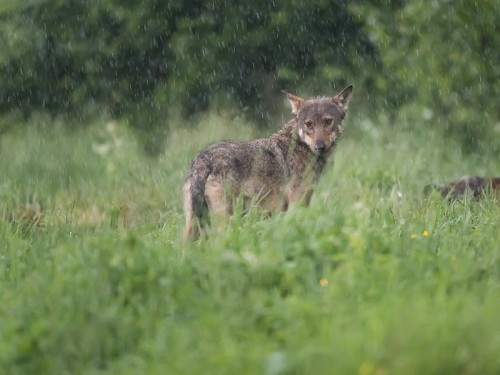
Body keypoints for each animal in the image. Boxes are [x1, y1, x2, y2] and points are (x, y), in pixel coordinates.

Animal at [183, 85, 352, 239]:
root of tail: (203, 159)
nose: (320, 147)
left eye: (328, 122)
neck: (299, 146)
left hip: (193, 225)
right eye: (309, 124)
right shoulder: (298, 203)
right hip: (226, 221)